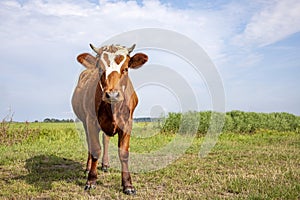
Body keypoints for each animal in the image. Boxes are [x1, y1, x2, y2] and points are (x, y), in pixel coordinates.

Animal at [72, 43, 149, 195]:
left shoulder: (127, 123)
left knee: (105, 139)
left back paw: (105, 164)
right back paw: (88, 168)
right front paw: (91, 181)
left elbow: (124, 153)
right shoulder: (91, 121)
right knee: (90, 143)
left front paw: (128, 185)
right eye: (100, 68)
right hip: (85, 122)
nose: (112, 95)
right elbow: (95, 150)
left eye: (125, 69)